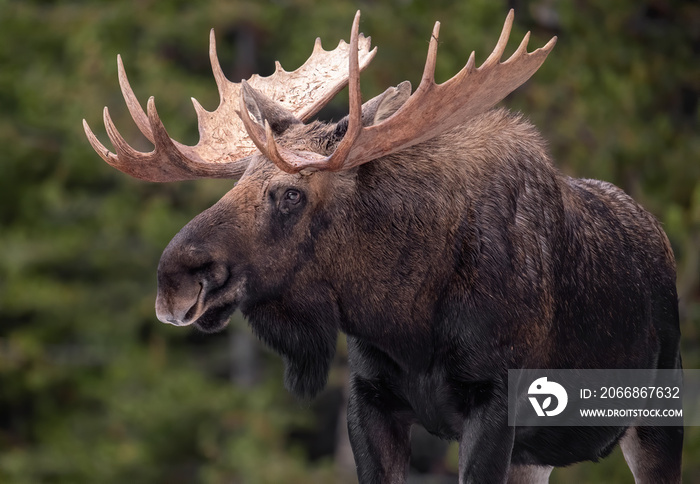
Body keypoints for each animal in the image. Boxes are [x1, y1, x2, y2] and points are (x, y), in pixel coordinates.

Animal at [83, 9, 684, 484]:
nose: (175, 280)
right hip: (537, 456)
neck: (405, 321)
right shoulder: (369, 399)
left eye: (292, 194)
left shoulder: (494, 403)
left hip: (658, 411)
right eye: (238, 182)